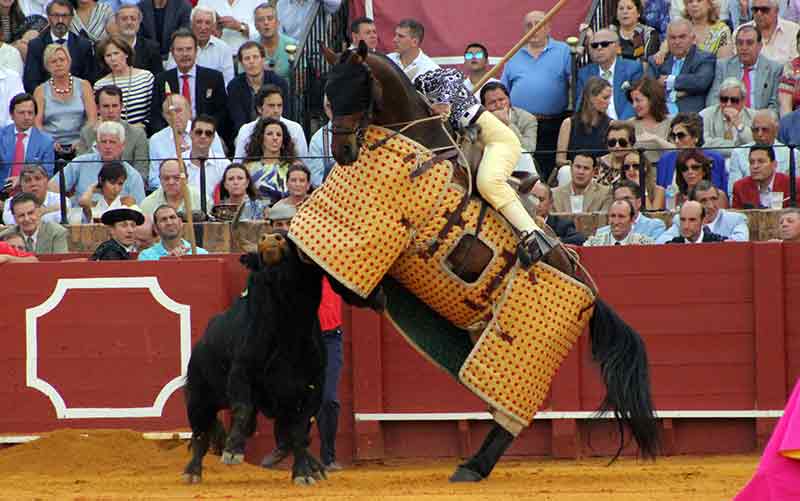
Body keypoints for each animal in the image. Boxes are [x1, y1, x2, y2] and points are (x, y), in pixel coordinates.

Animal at [286, 43, 656, 480]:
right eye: (328, 92)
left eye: (359, 89)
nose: (342, 153)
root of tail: (590, 291)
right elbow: (308, 259)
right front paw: (371, 296)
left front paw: (373, 297)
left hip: (526, 356)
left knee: (512, 416)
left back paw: (474, 466)